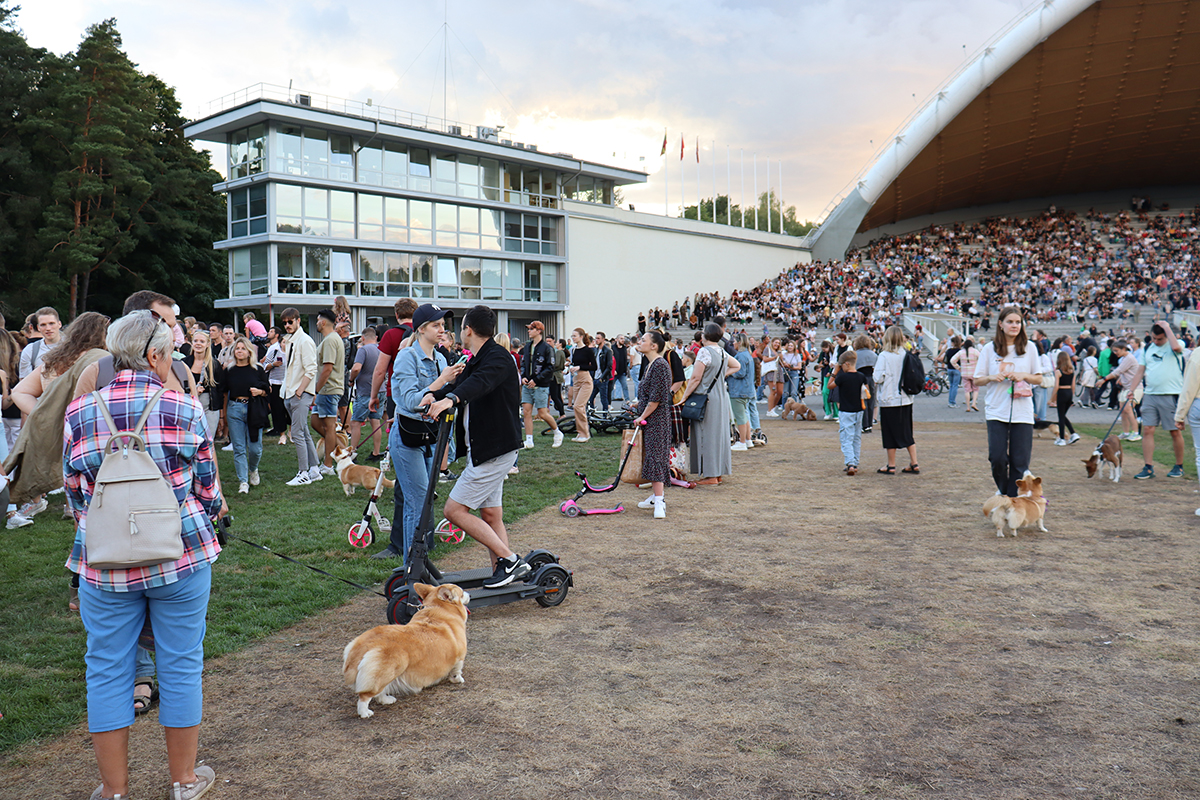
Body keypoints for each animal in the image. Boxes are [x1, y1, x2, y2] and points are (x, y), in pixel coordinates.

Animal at [343, 582, 468, 719]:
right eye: (462, 593)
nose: (470, 594)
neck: (439, 606)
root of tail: (362, 646)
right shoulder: (460, 657)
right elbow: (457, 670)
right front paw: (458, 680)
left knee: (379, 693)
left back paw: (387, 700)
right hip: (387, 672)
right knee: (365, 696)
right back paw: (365, 713)